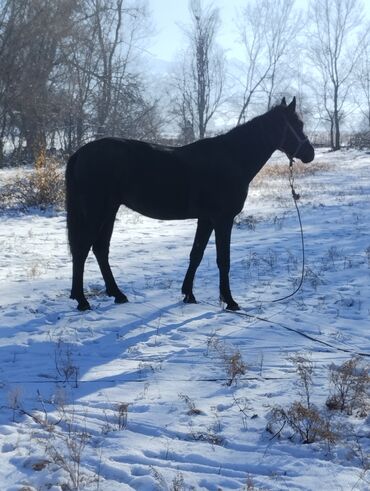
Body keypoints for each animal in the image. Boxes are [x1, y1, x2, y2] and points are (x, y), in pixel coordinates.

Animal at [65, 96, 314, 312]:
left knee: (100, 249)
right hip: (96, 211)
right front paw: (230, 301)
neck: (232, 158)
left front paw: (188, 294)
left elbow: (196, 254)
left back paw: (117, 294)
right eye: (298, 124)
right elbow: (223, 260)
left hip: (109, 210)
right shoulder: (223, 219)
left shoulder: (206, 219)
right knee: (82, 249)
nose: (310, 153)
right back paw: (82, 300)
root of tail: (80, 153)